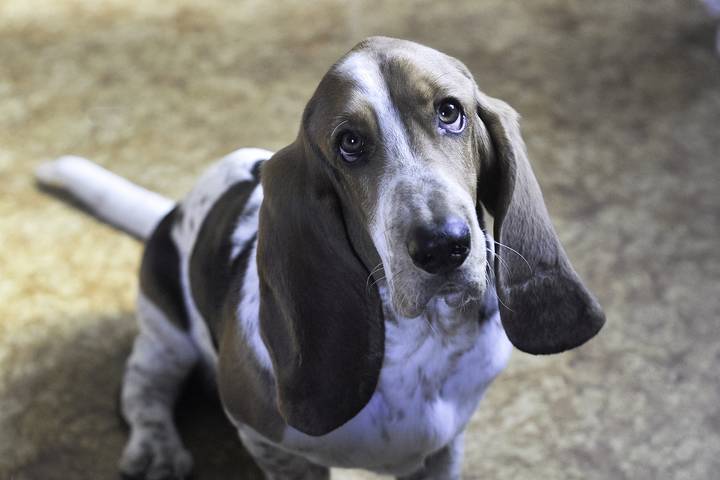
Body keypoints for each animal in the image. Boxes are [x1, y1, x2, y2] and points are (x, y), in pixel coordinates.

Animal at [36, 37, 604, 480]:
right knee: (142, 388)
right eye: (349, 142)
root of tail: (173, 208)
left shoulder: (448, 446)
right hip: (164, 331)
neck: (425, 340)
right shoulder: (265, 437)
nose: (443, 246)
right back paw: (155, 449)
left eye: (449, 112)